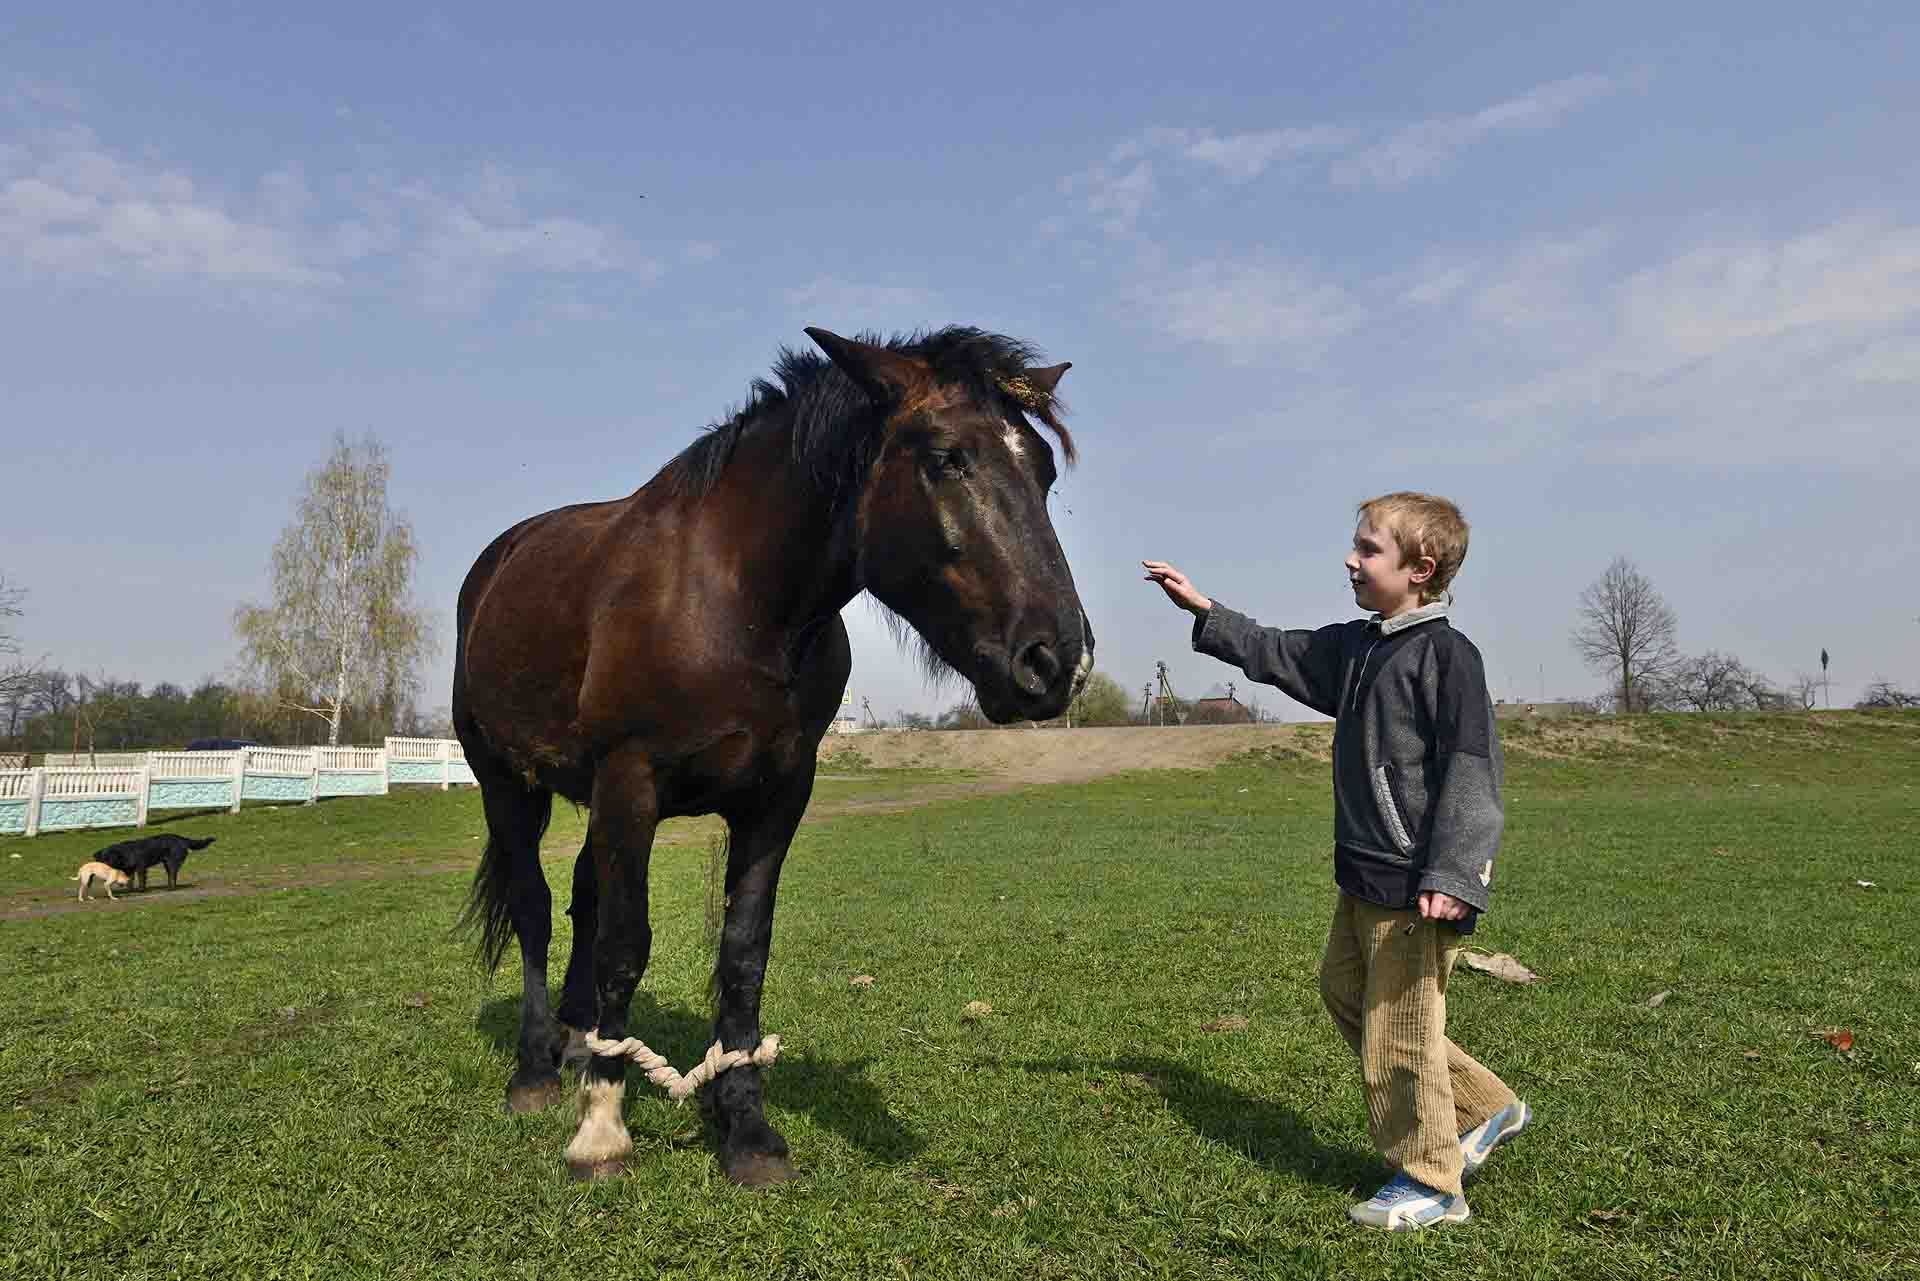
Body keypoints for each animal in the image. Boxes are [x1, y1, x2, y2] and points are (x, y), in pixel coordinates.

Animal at [441, 326, 1090, 1190]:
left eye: (1044, 470)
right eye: (946, 458)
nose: (1058, 661)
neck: (733, 599)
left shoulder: (777, 794)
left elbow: (743, 952)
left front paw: (744, 1123)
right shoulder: (631, 782)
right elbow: (625, 946)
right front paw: (602, 1127)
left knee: (581, 896)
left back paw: (578, 1041)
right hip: (508, 783)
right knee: (538, 909)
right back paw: (538, 1069)